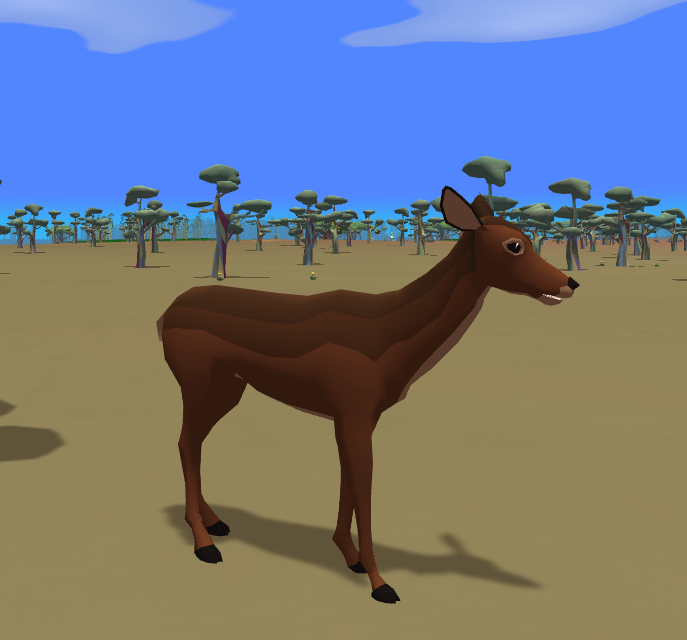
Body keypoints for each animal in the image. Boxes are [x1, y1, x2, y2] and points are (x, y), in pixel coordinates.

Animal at [156, 186, 580, 604]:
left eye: (527, 237)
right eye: (515, 244)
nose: (570, 283)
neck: (387, 333)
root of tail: (164, 315)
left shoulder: (356, 416)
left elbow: (348, 482)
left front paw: (351, 557)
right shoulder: (354, 411)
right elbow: (365, 488)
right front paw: (381, 583)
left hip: (228, 387)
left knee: (193, 442)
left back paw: (216, 523)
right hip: (197, 382)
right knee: (185, 442)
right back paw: (205, 545)